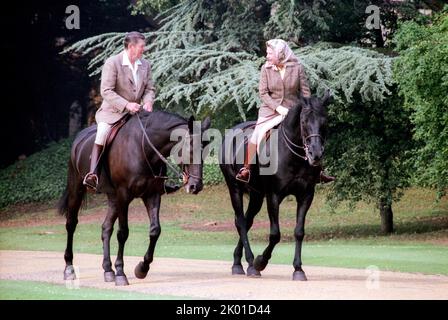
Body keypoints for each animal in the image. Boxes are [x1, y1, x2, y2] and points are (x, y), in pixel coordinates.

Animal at [57, 111, 210, 286]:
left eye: (205, 150)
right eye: (190, 149)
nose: (195, 186)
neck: (144, 149)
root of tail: (79, 138)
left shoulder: (152, 195)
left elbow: (155, 230)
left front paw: (142, 268)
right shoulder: (124, 195)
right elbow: (123, 233)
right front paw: (121, 273)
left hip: (113, 198)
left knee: (106, 228)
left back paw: (108, 270)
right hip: (77, 190)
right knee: (71, 225)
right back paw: (69, 268)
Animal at [219, 92, 330, 280]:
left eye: (324, 122)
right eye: (303, 122)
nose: (315, 154)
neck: (295, 157)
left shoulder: (306, 195)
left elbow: (299, 232)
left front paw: (298, 269)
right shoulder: (273, 196)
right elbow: (275, 234)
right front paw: (260, 262)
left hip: (256, 195)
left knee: (247, 221)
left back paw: (238, 263)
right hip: (234, 188)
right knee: (241, 222)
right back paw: (250, 263)